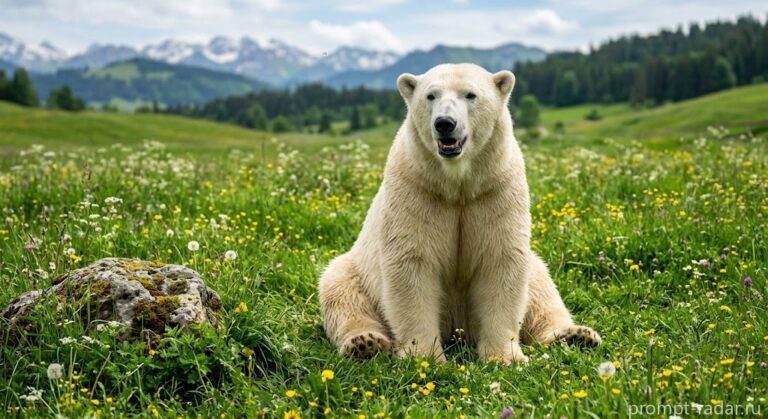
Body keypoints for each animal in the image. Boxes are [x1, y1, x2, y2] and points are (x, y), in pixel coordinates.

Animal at [318, 63, 601, 363]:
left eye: (470, 95)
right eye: (430, 95)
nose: (445, 123)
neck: (457, 186)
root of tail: (459, 331)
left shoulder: (495, 191)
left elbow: (501, 262)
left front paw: (504, 357)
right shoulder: (417, 192)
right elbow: (412, 265)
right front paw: (424, 356)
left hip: (533, 270)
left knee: (542, 289)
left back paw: (576, 335)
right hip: (355, 272)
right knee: (341, 294)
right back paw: (364, 343)